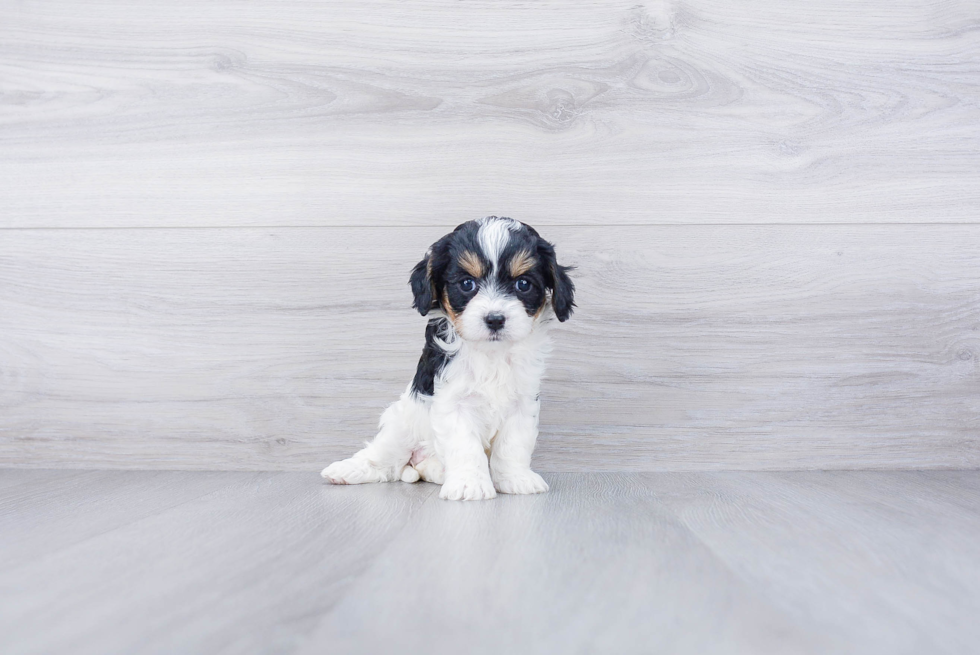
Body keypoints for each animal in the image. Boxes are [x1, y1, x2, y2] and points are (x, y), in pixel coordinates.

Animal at [320, 217, 576, 502]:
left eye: (523, 284)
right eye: (466, 284)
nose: (495, 319)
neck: (490, 353)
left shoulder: (523, 402)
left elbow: (513, 444)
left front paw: (516, 479)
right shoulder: (453, 402)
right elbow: (465, 445)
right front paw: (469, 484)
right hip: (401, 424)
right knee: (384, 458)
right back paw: (348, 470)